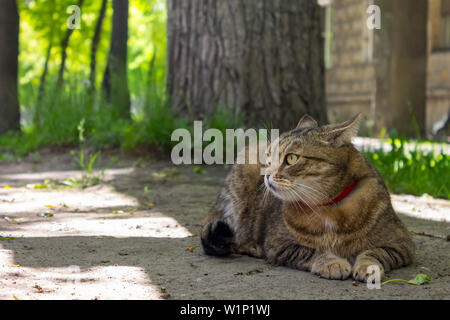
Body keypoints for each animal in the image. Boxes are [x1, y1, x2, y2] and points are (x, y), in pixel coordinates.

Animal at [202, 114, 414, 282]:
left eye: (292, 158)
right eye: (269, 157)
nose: (266, 174)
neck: (329, 207)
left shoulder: (401, 243)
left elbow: (375, 252)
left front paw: (366, 266)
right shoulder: (280, 245)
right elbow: (311, 250)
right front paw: (332, 262)